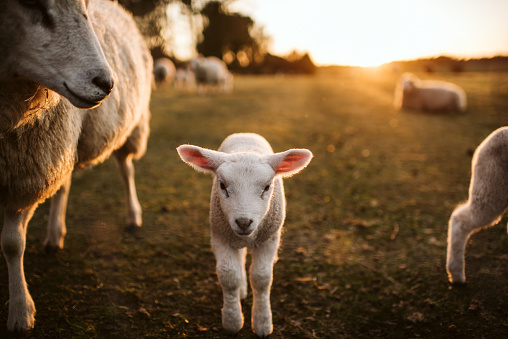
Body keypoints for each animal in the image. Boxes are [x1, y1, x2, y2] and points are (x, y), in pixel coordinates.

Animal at [0, 0, 152, 332]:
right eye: (31, 4)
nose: (106, 83)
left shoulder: (26, 170)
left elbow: (12, 243)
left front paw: (20, 312)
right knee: (63, 183)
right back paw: (55, 234)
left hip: (124, 127)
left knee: (126, 170)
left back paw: (133, 215)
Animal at [178, 133, 314, 338]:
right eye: (222, 185)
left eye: (267, 187)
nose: (243, 222)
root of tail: (245, 134)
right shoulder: (220, 236)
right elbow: (229, 276)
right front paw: (233, 321)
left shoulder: (269, 240)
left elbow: (262, 278)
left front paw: (262, 323)